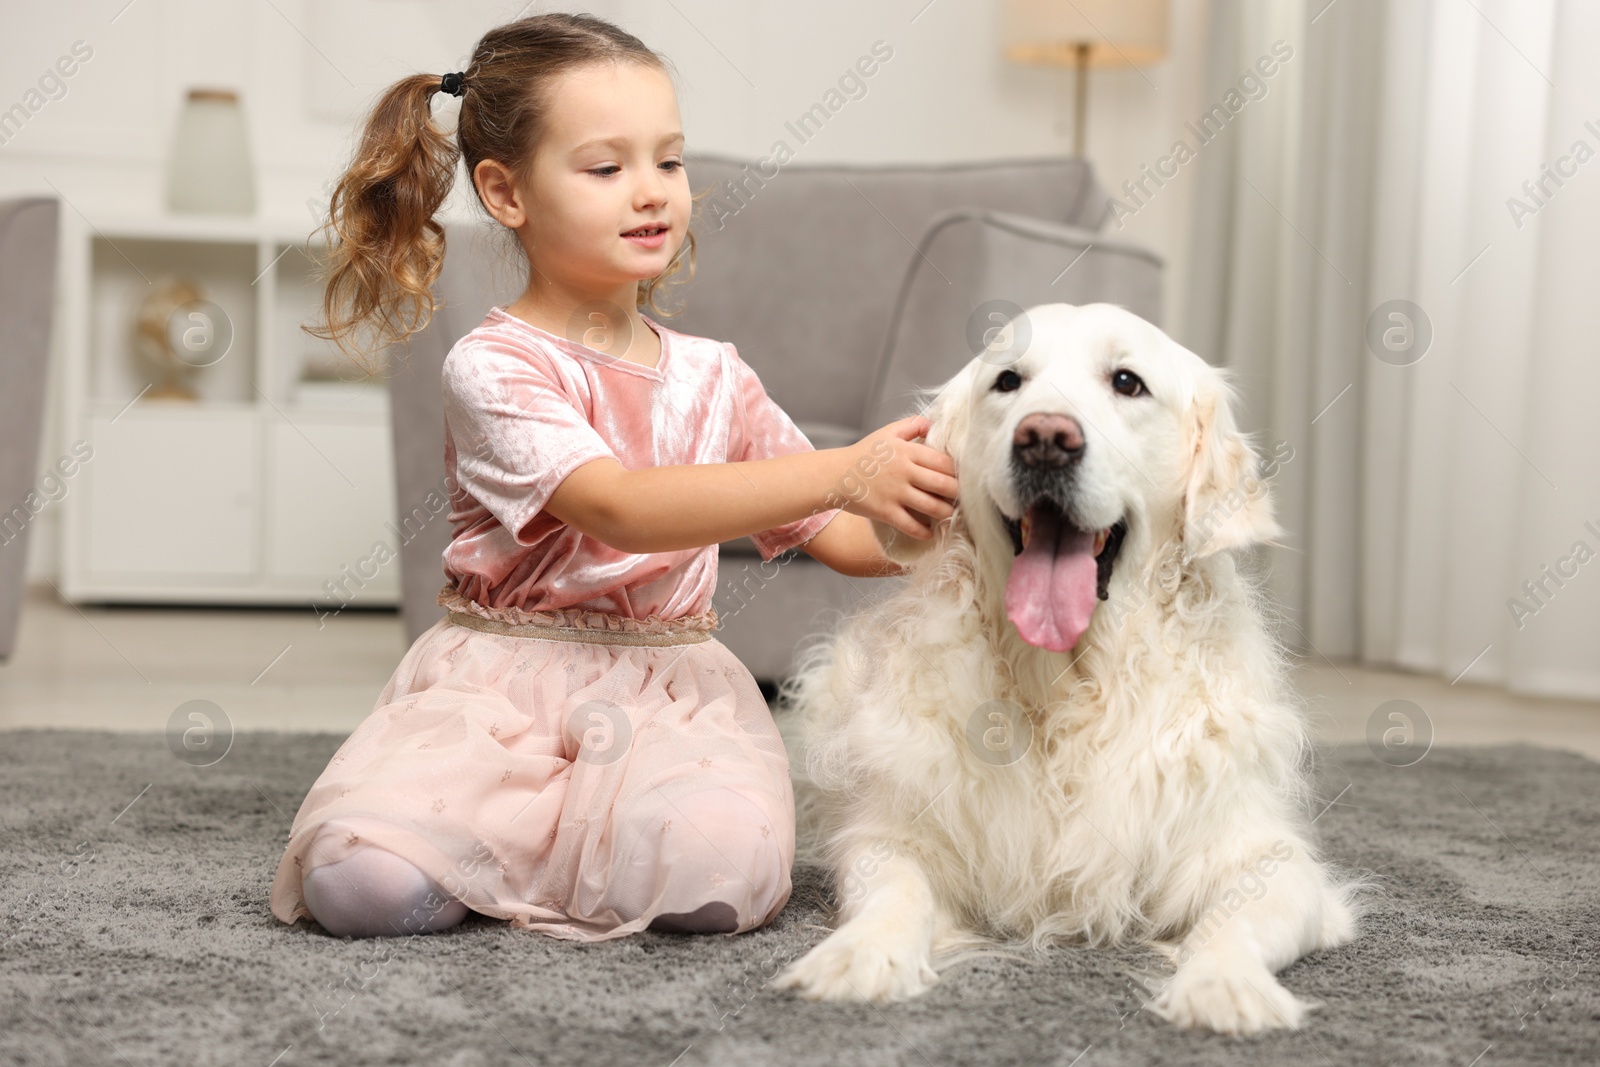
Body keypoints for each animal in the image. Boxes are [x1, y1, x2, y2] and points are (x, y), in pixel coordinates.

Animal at [774, 300, 1363, 1036]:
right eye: (1007, 381)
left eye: (1127, 382)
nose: (1046, 439)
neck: (1070, 682)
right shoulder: (896, 834)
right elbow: (894, 890)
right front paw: (860, 954)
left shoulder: (1263, 855)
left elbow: (1236, 920)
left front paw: (1223, 984)